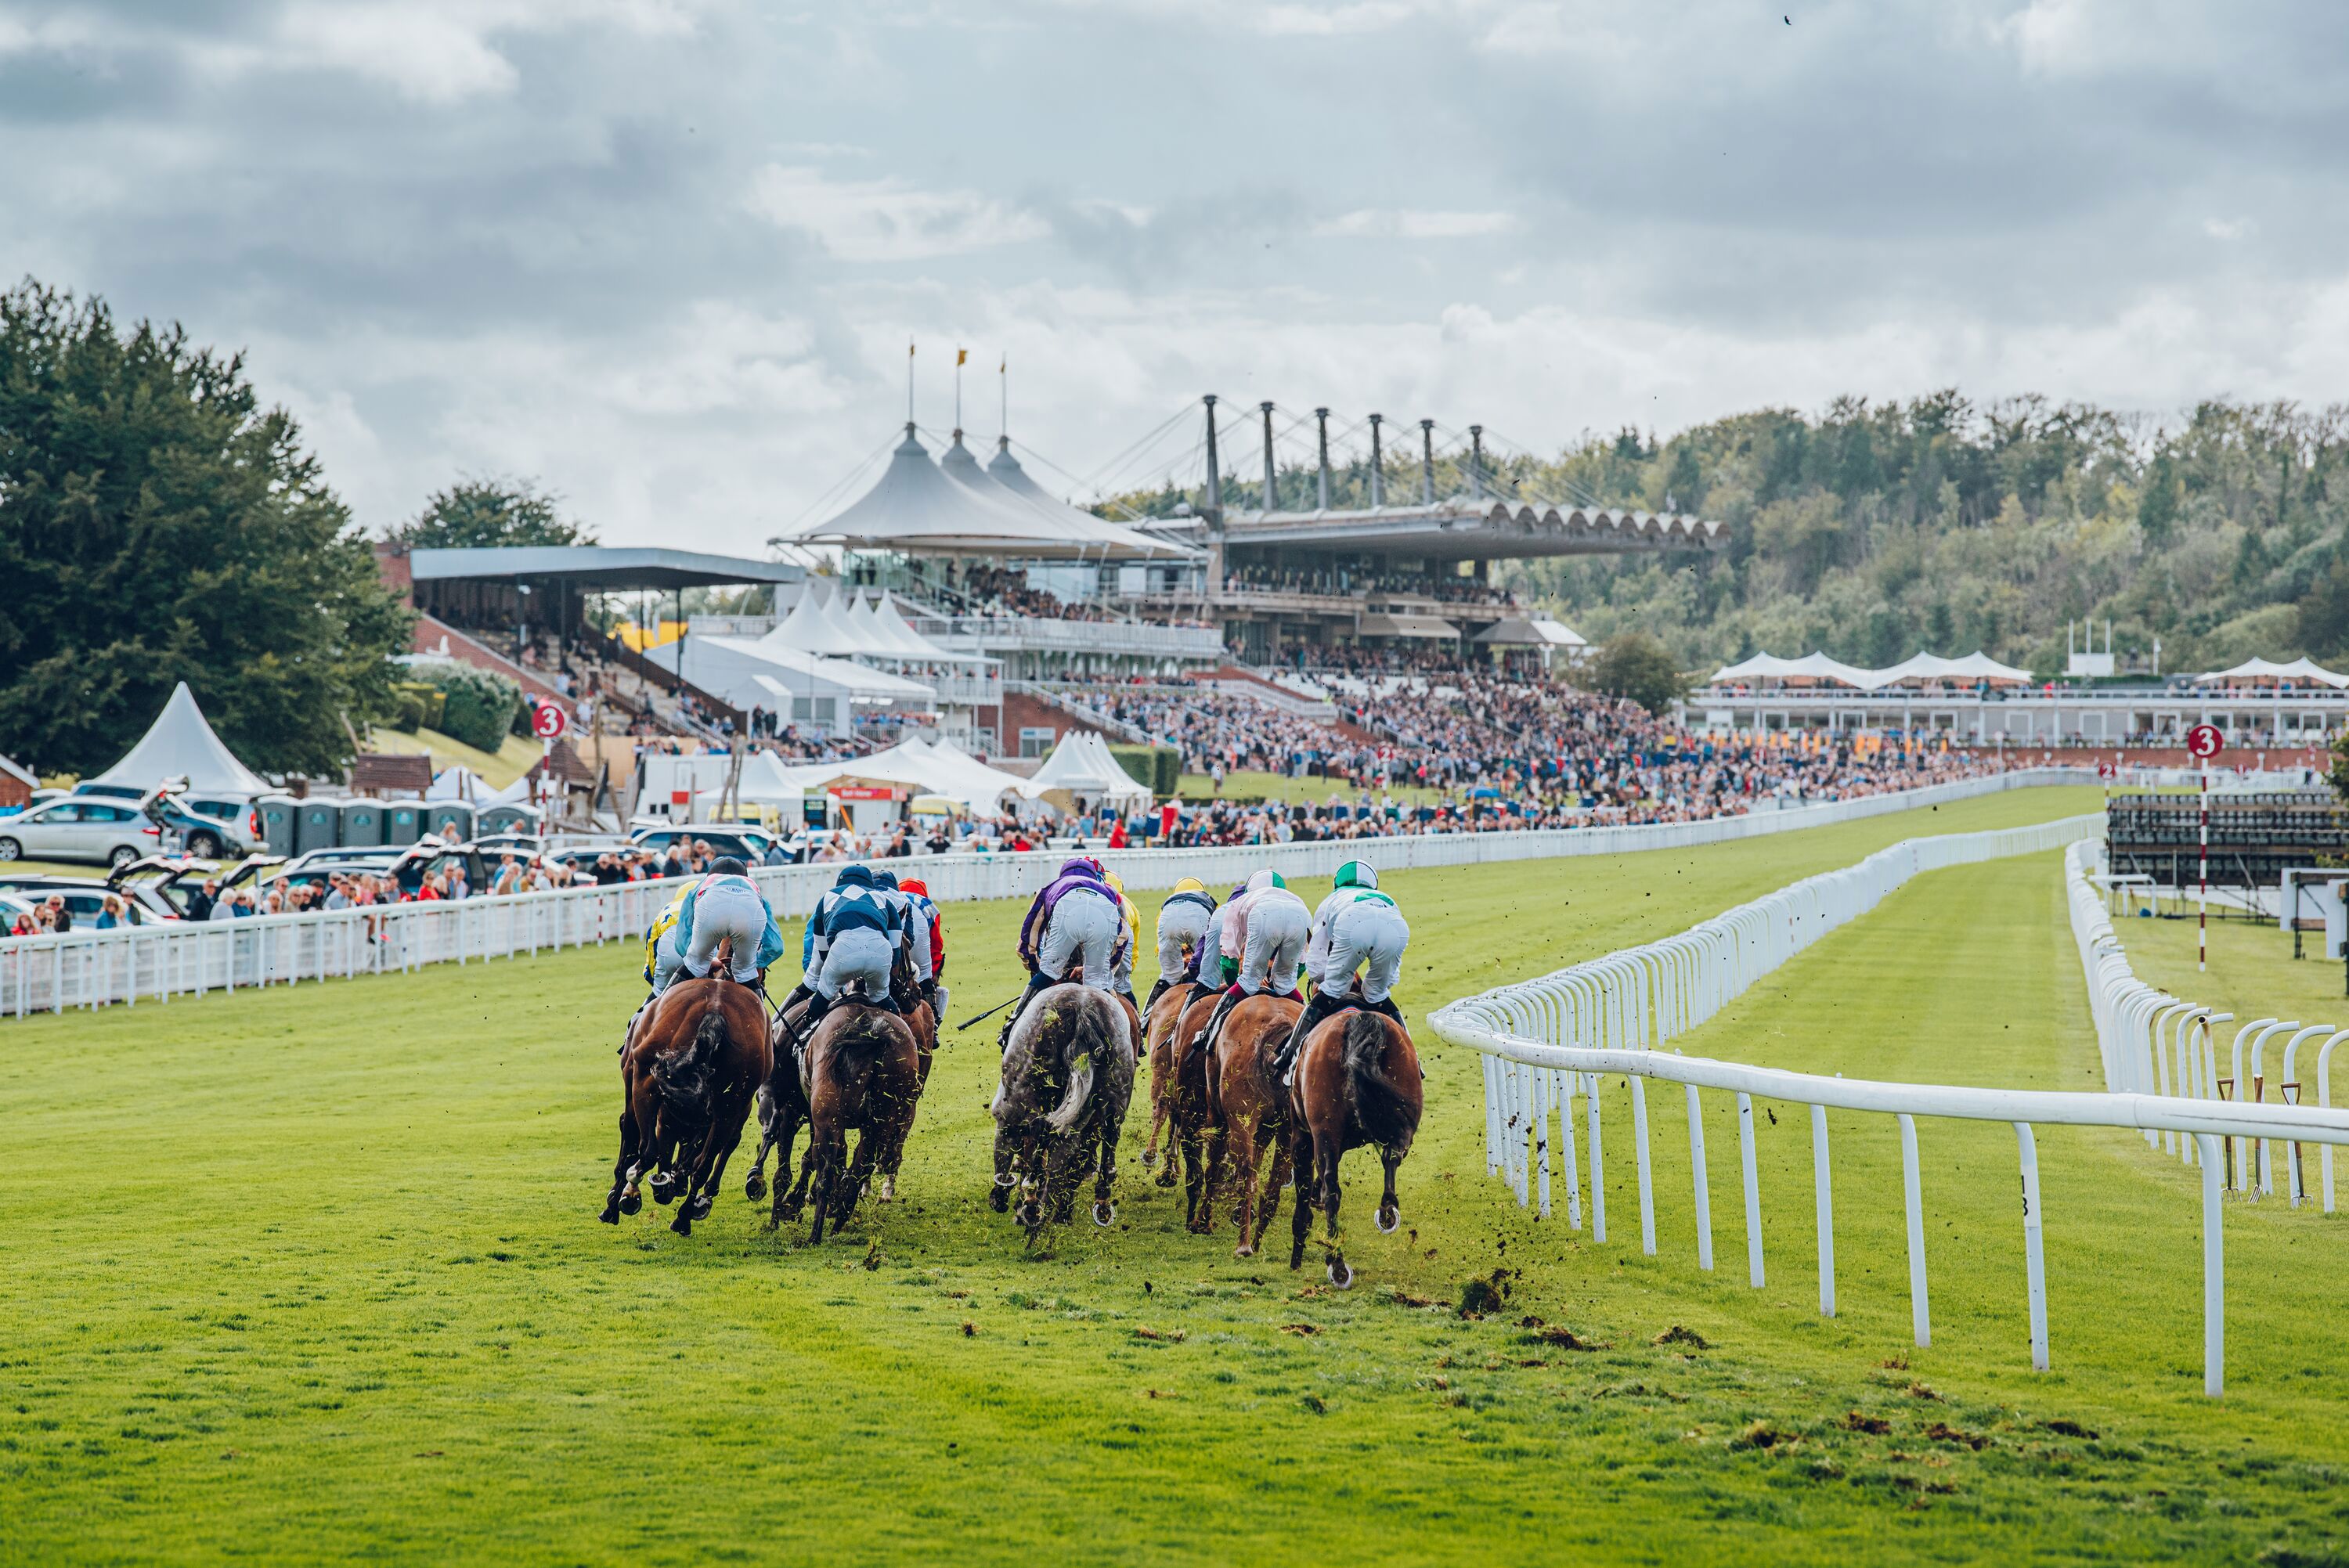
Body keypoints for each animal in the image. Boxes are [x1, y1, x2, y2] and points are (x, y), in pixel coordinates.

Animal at [597, 981, 770, 1239]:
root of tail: (715, 1011)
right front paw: (673, 1184)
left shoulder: (634, 1080)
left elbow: (630, 1134)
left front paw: (618, 1202)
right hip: (730, 1104)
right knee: (702, 1165)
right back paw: (683, 1215)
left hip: (644, 1080)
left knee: (648, 1151)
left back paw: (640, 1188)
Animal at [1212, 990, 1306, 1258]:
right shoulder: (1270, 1127)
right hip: (1288, 1131)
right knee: (1272, 1187)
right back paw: (1256, 1239)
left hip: (1241, 1123)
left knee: (1247, 1176)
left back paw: (1243, 1244)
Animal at [1278, 1004, 1419, 1286]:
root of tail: (1359, 1020)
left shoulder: (1303, 1135)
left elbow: (1305, 1192)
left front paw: (1297, 1254)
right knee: (1393, 1155)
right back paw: (1387, 1212)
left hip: (1324, 1130)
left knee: (1332, 1191)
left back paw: (1337, 1263)